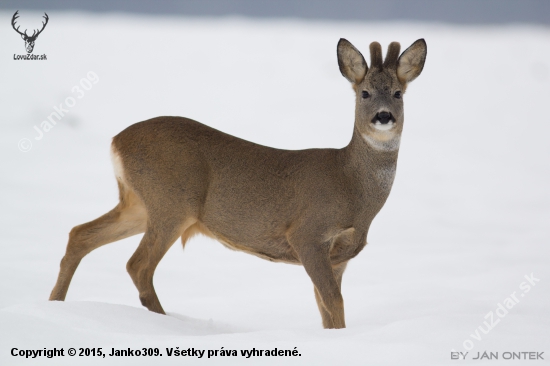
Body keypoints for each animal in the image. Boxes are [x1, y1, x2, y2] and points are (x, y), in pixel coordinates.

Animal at [49, 38, 430, 328]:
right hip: (172, 202)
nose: (384, 116)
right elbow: (334, 303)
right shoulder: (307, 233)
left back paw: (55, 304)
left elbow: (327, 307)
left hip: (139, 204)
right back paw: (168, 323)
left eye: (398, 93)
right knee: (137, 265)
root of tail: (116, 141)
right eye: (364, 93)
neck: (352, 187)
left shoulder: (340, 254)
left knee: (80, 234)